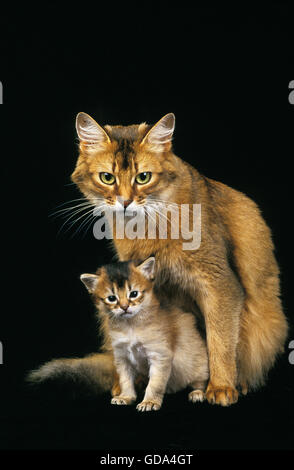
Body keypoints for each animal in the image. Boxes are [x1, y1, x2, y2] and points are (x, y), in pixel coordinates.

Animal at [80, 258, 209, 412]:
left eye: (134, 294)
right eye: (111, 298)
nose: (124, 307)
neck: (130, 326)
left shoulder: (159, 355)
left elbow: (155, 383)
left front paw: (149, 402)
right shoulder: (122, 358)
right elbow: (125, 380)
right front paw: (126, 397)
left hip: (198, 365)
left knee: (200, 381)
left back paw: (197, 393)